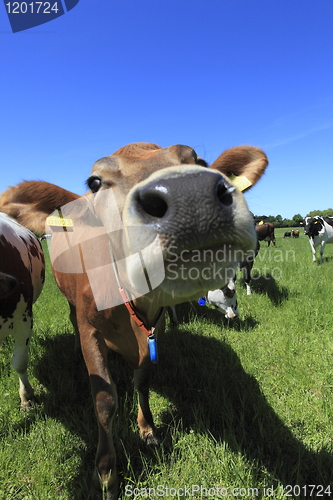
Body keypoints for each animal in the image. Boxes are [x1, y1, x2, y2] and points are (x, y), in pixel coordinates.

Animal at [0, 143, 268, 498]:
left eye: (199, 161)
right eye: (95, 182)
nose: (190, 194)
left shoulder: (156, 326)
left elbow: (142, 381)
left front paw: (148, 428)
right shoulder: (90, 329)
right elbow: (104, 400)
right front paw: (107, 473)